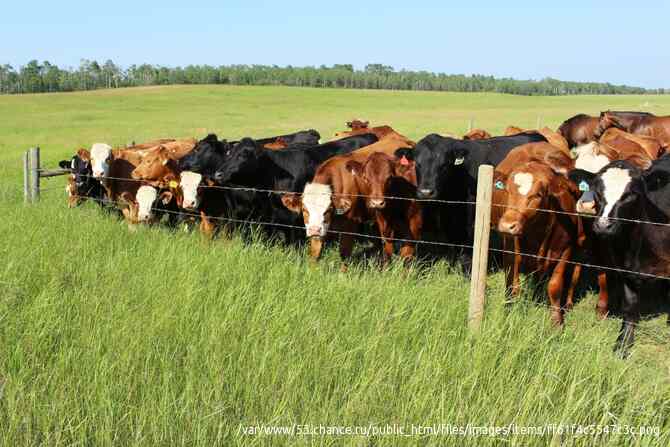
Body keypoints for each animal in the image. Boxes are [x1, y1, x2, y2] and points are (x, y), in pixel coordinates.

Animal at [572, 158, 670, 356]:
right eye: (597, 191)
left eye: (631, 194)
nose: (603, 225)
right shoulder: (625, 269)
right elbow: (630, 306)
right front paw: (623, 344)